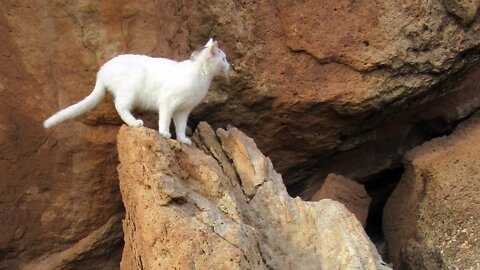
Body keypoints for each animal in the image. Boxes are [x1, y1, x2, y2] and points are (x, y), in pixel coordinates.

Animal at [43, 38, 229, 144]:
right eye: (224, 58)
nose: (229, 65)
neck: (200, 75)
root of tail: (102, 70)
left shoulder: (183, 111)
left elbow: (181, 127)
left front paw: (183, 140)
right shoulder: (167, 102)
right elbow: (164, 119)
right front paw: (164, 133)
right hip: (132, 85)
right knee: (120, 106)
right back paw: (134, 123)